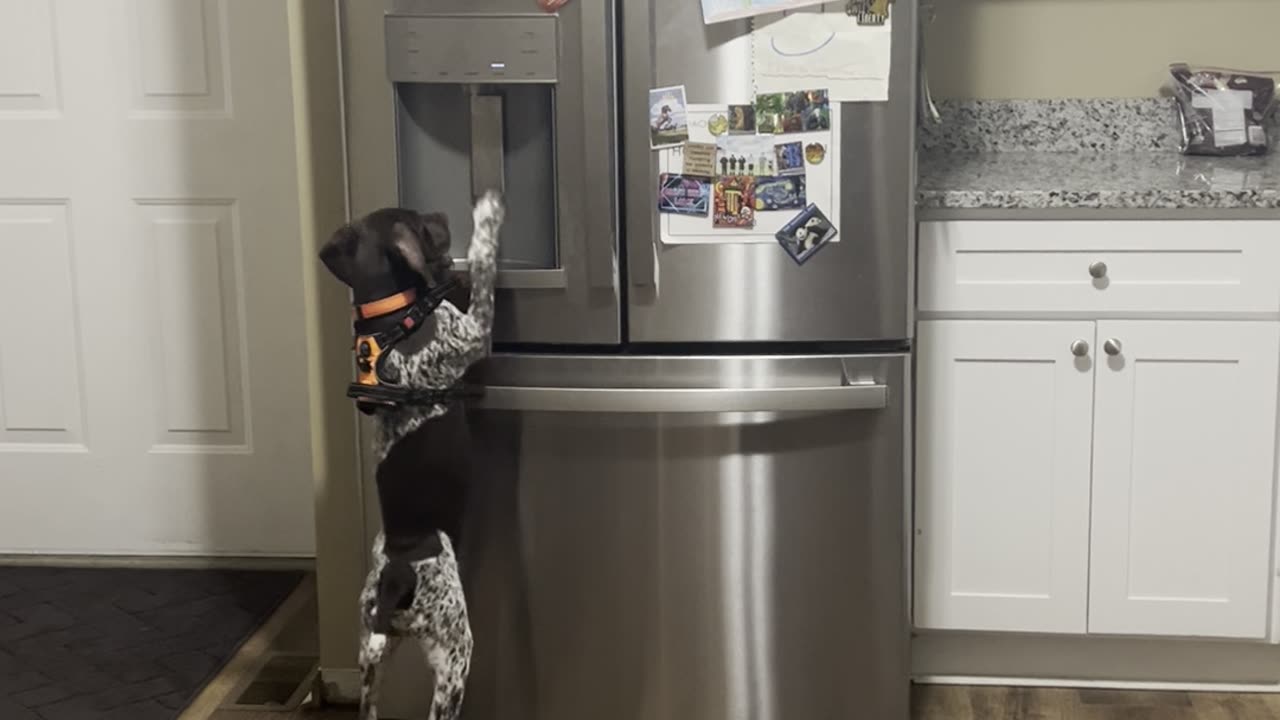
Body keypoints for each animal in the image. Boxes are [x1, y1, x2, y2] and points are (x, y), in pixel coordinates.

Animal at [317, 190, 506, 717]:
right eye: (421, 221)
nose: (440, 212)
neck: (388, 319)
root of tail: (393, 579)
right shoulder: (473, 331)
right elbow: (483, 263)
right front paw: (487, 216)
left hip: (371, 652)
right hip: (456, 650)